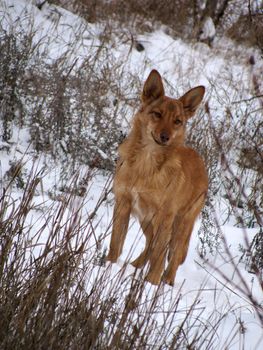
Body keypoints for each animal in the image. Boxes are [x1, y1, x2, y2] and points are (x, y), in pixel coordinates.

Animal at [106, 69, 209, 286]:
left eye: (177, 121)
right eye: (157, 114)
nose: (165, 137)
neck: (146, 163)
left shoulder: (165, 216)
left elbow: (159, 256)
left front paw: (151, 283)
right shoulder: (123, 204)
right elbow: (116, 243)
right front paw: (108, 265)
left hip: (179, 226)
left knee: (173, 255)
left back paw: (166, 282)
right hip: (146, 219)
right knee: (150, 244)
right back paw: (135, 266)